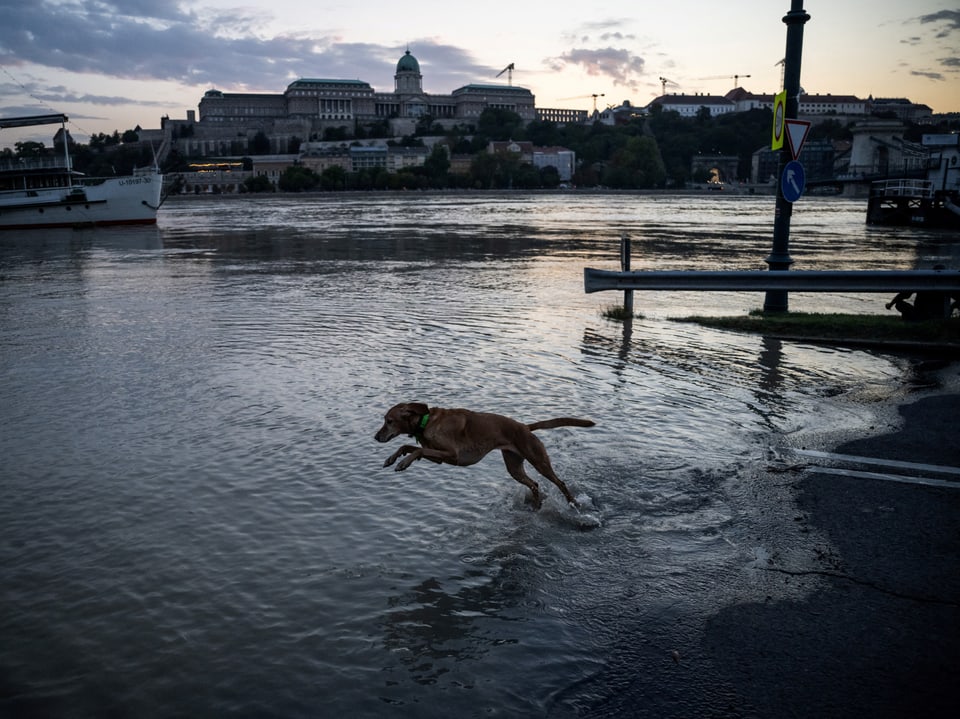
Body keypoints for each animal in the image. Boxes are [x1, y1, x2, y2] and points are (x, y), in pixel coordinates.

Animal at [376, 402, 592, 510]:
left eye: (389, 421)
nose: (376, 437)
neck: (426, 421)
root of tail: (525, 427)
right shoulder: (439, 458)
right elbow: (407, 445)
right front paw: (392, 459)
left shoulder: (452, 455)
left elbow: (417, 449)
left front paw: (403, 463)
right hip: (514, 467)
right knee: (534, 484)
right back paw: (536, 506)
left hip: (539, 461)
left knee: (560, 483)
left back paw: (573, 503)